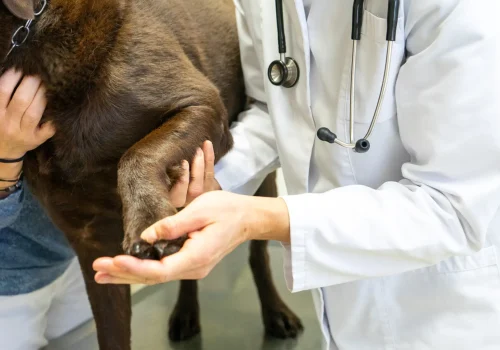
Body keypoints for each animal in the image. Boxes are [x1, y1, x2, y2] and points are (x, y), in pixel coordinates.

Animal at [0, 0, 304, 348]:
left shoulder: (201, 104)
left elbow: (137, 154)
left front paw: (148, 221)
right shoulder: (90, 243)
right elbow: (112, 333)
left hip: (263, 175)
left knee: (259, 257)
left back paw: (276, 313)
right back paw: (186, 313)